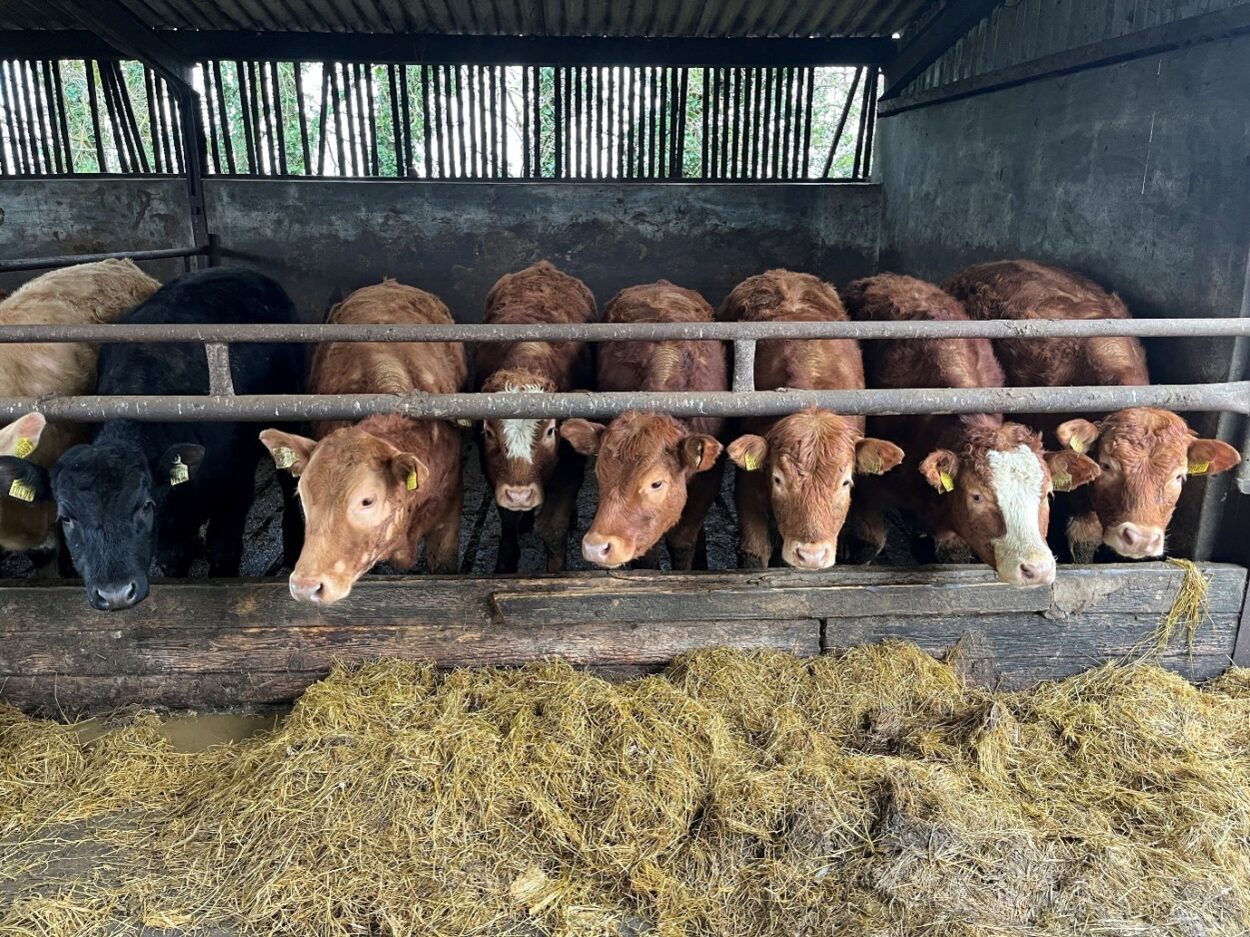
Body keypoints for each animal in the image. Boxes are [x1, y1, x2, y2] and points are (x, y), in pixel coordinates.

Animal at [474, 261, 595, 573]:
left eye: (551, 431)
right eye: (488, 432)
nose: (520, 495)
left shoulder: (571, 467)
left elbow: (554, 526)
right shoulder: (493, 471)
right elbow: (507, 519)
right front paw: (505, 561)